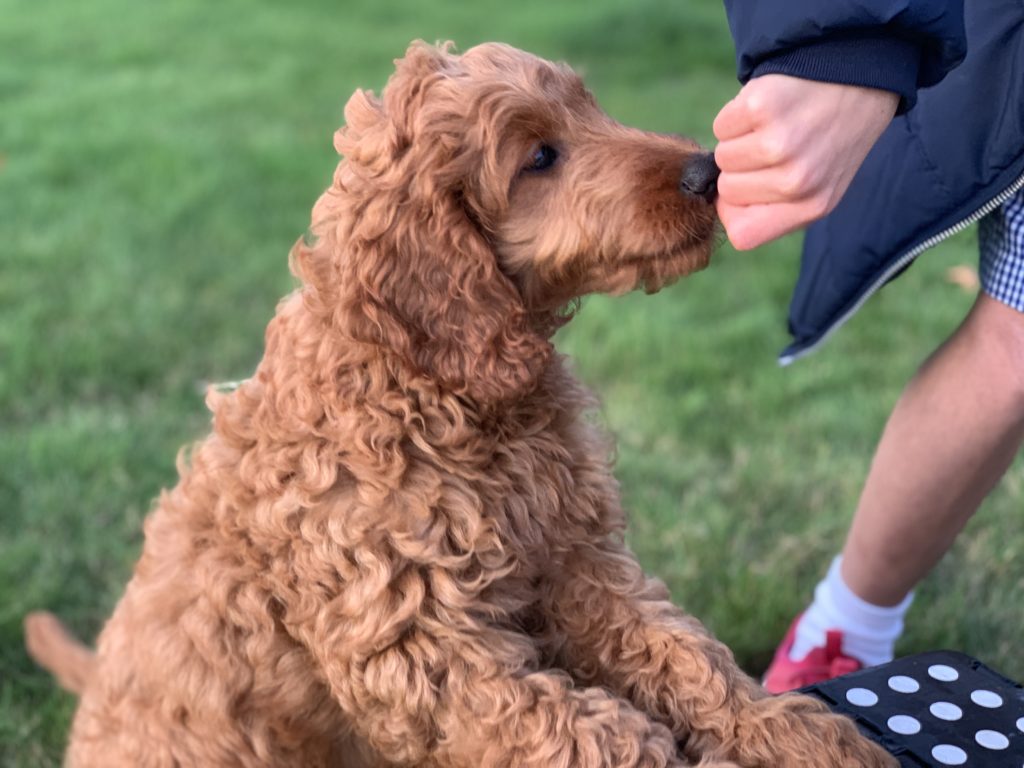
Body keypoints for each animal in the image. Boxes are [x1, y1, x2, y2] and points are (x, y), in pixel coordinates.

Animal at [19, 43, 892, 768]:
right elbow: (572, 728)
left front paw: (788, 731)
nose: (706, 172)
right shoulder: (415, 648)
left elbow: (684, 653)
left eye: (592, 109)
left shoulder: (575, 564)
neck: (437, 393)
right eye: (539, 156)